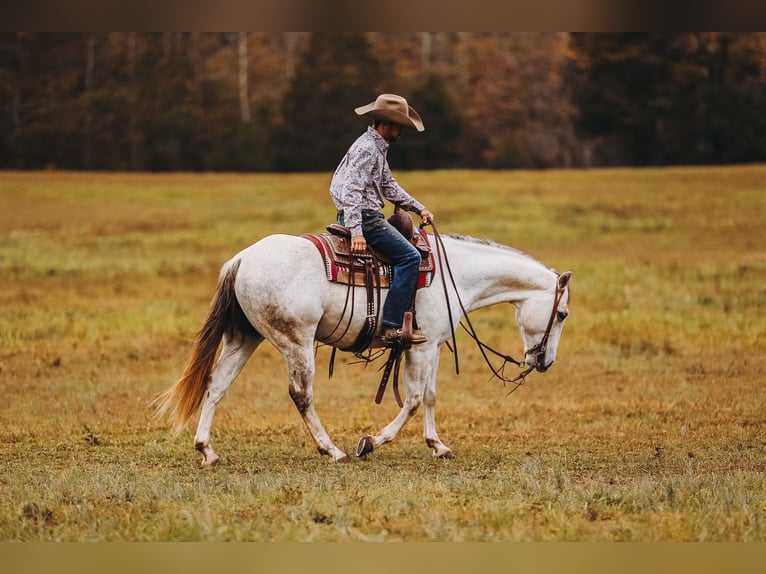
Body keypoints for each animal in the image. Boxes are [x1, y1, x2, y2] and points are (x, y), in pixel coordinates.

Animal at [153, 232, 572, 466]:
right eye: (562, 313)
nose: (545, 361)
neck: (455, 274)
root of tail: (241, 260)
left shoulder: (432, 345)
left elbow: (430, 396)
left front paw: (437, 446)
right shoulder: (420, 348)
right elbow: (413, 399)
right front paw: (370, 442)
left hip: (245, 338)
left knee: (217, 385)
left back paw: (206, 450)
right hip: (296, 341)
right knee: (301, 394)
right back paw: (332, 451)